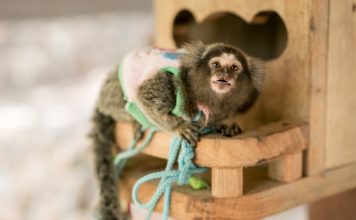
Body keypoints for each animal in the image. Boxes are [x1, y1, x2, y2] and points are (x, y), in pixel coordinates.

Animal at [90, 42, 264, 219]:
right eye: (215, 64)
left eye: (234, 67)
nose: (224, 74)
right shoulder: (169, 82)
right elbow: (145, 97)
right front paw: (179, 127)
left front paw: (224, 126)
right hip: (115, 97)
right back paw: (136, 121)